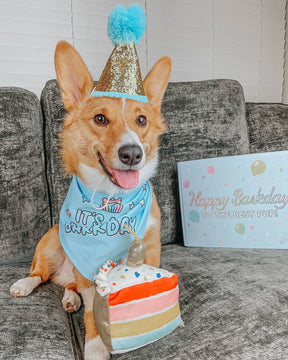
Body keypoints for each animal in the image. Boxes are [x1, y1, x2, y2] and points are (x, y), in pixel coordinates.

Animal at [10, 40, 171, 358]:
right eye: (100, 119)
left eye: (142, 120)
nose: (132, 154)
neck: (113, 202)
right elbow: (92, 314)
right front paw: (96, 348)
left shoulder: (151, 247)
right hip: (52, 242)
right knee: (40, 274)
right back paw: (25, 284)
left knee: (68, 286)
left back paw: (70, 298)